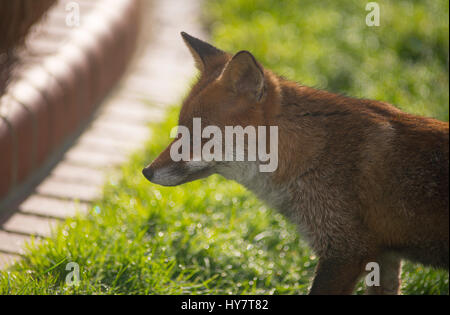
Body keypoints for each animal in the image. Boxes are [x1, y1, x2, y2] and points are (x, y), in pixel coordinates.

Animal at [142, 32, 448, 296]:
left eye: (200, 136)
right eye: (180, 131)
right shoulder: (384, 256)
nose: (146, 171)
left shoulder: (346, 252)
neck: (311, 156)